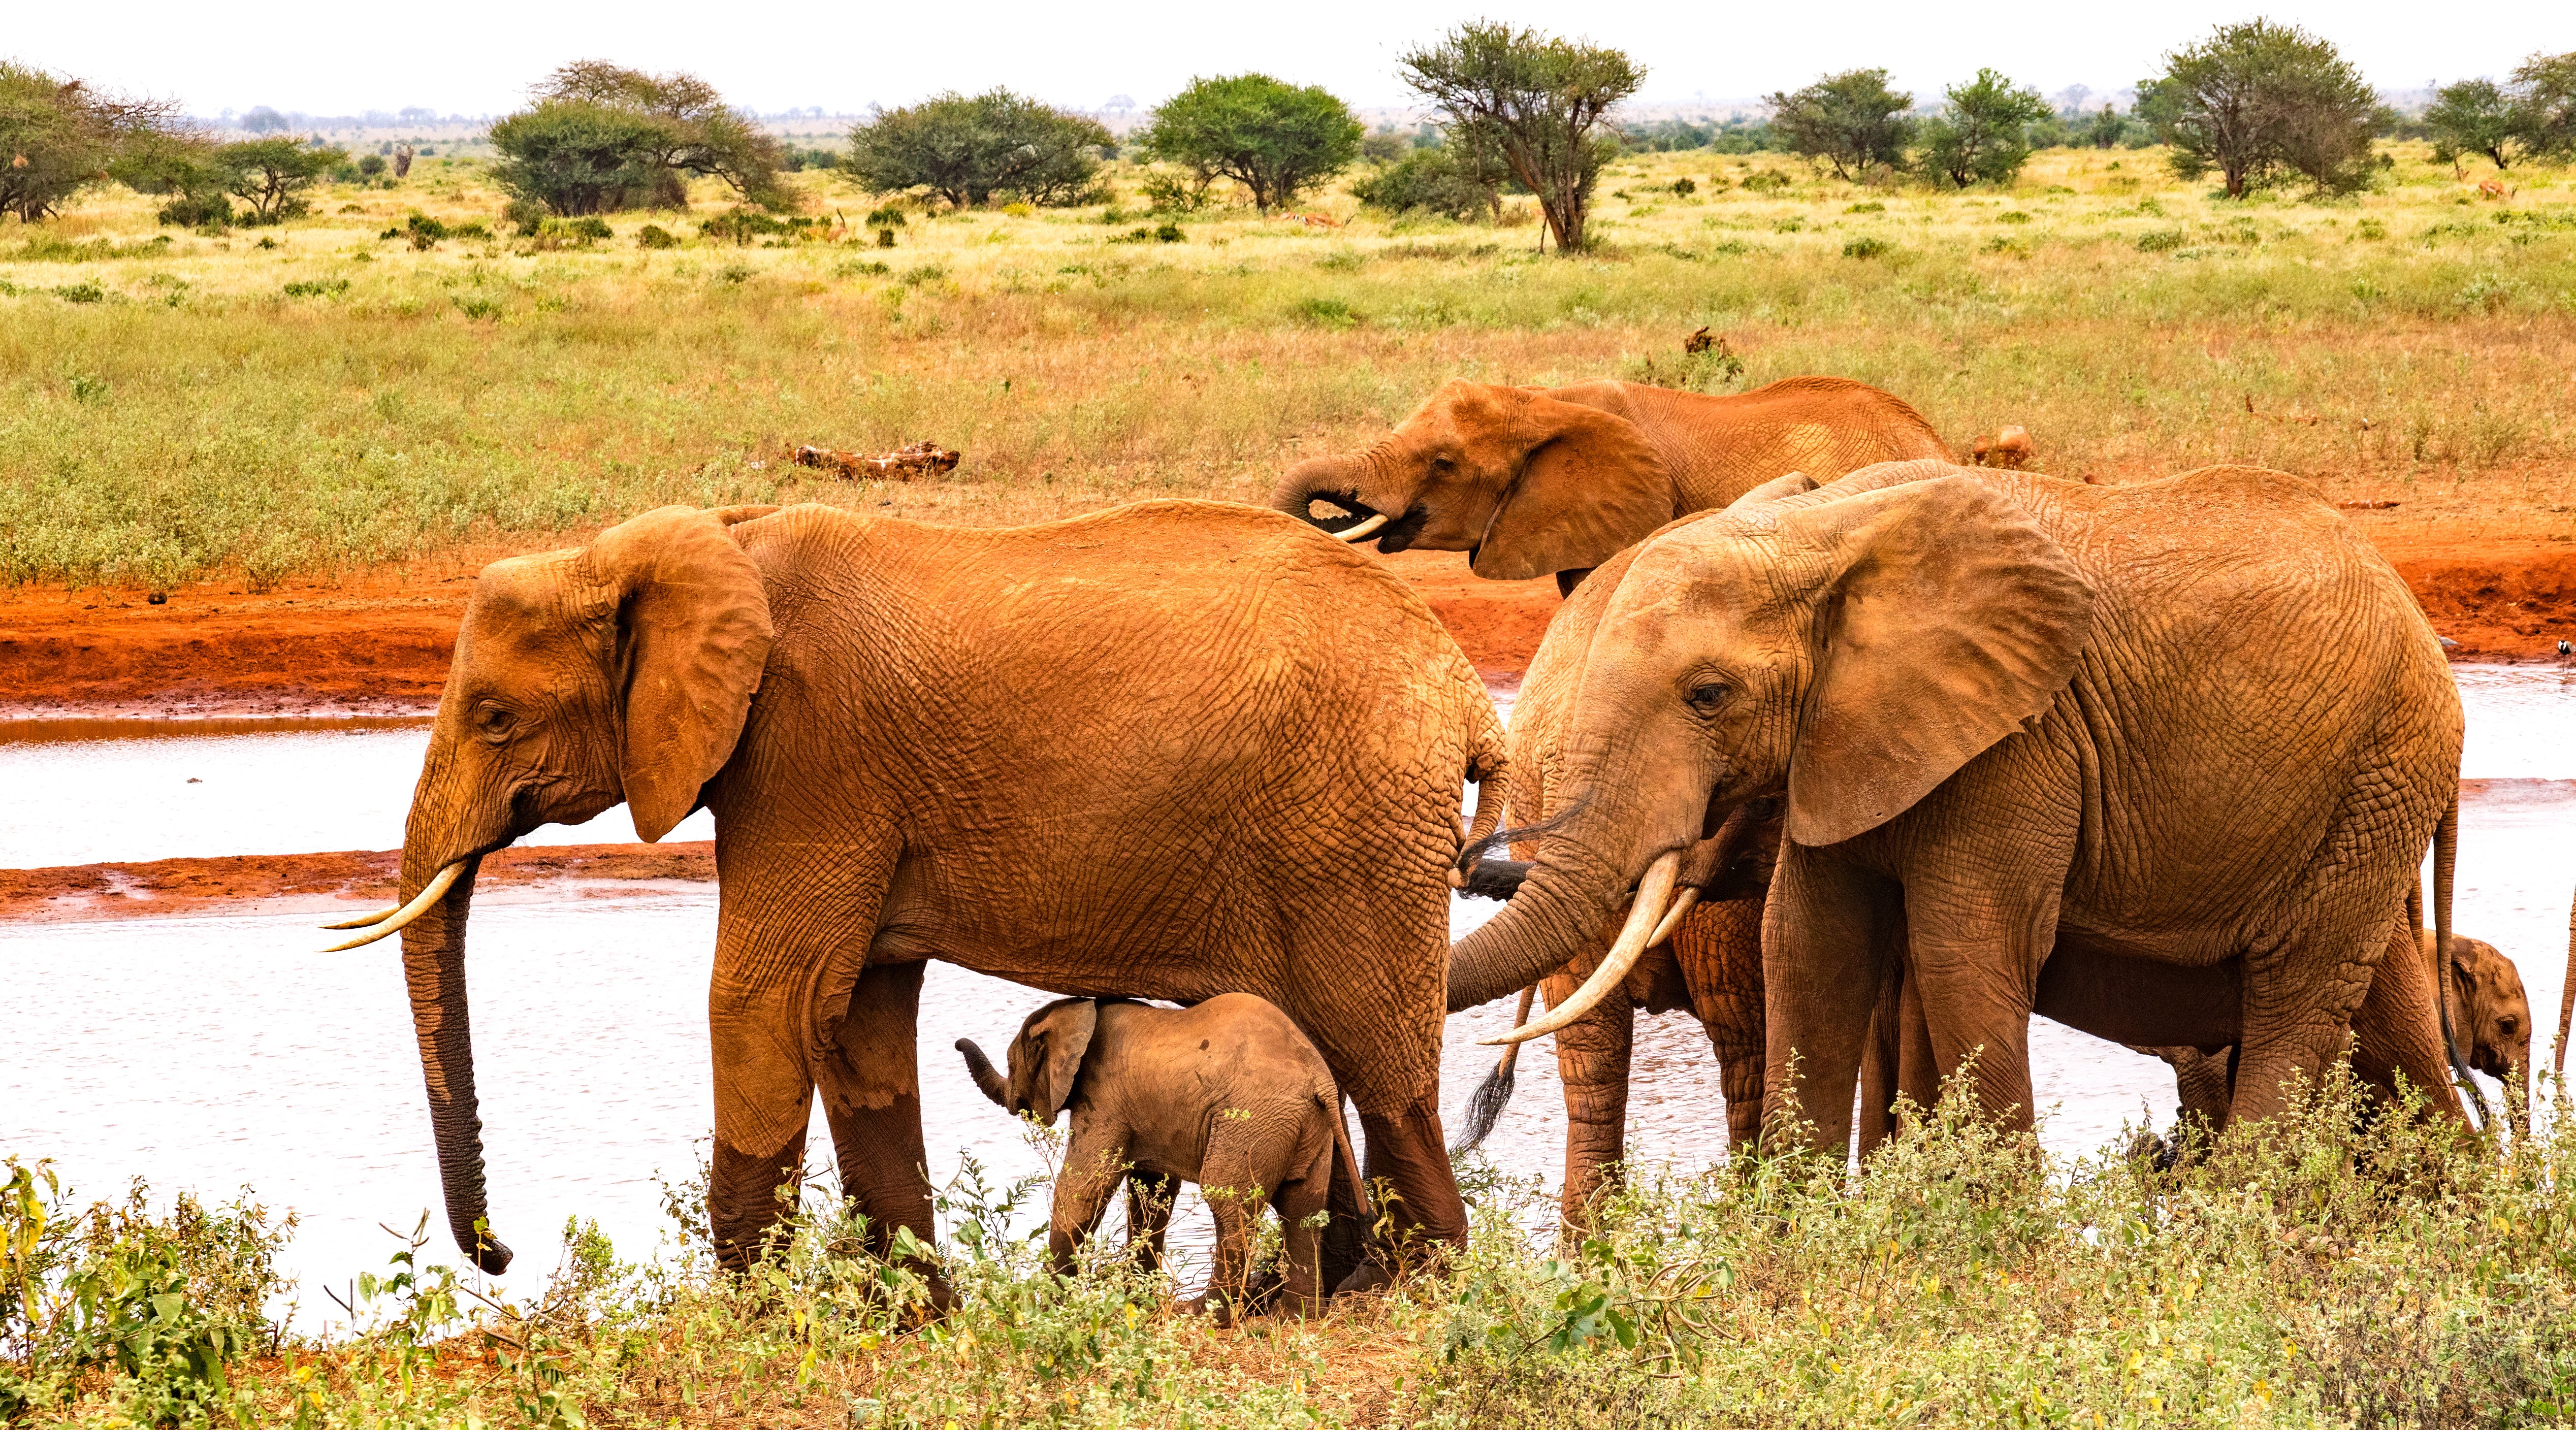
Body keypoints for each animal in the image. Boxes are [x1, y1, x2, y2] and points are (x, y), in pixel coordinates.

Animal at [323, 498, 1505, 1286]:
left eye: (492, 717)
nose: (501, 1253)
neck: (697, 547)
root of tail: (1462, 689)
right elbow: (857, 1022)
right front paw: (912, 1319)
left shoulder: (809, 754)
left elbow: (758, 1002)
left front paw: (745, 1320)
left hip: (1353, 824)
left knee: (1379, 1062)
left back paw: (1411, 1289)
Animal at [955, 993, 1366, 1322]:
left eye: (1011, 1066)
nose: (958, 1042)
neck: (1078, 1011)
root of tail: (1319, 1078)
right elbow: (1152, 1194)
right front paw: (1136, 1300)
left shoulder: (1103, 1100)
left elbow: (1086, 1187)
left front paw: (1051, 1307)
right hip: (1308, 1125)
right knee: (1303, 1208)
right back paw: (1296, 1317)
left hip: (1252, 1121)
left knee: (1229, 1203)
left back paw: (1205, 1314)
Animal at [1446, 458, 2467, 1159]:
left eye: (1707, 696)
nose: (1472, 859)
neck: (1821, 531)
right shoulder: (1845, 740)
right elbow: (1807, 948)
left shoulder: (2019, 741)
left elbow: (1965, 950)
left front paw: (2001, 1255)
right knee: (2382, 1026)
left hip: (2382, 766)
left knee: (2299, 993)